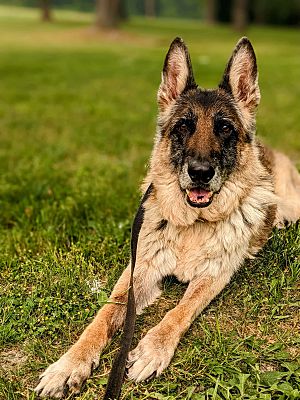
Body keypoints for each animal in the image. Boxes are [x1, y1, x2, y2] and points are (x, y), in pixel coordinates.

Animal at [33, 36, 300, 396]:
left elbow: (179, 311)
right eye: (183, 126)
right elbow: (105, 314)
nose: (200, 173)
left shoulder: (214, 275)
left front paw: (152, 349)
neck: (192, 226)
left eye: (225, 128)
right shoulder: (140, 271)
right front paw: (69, 364)